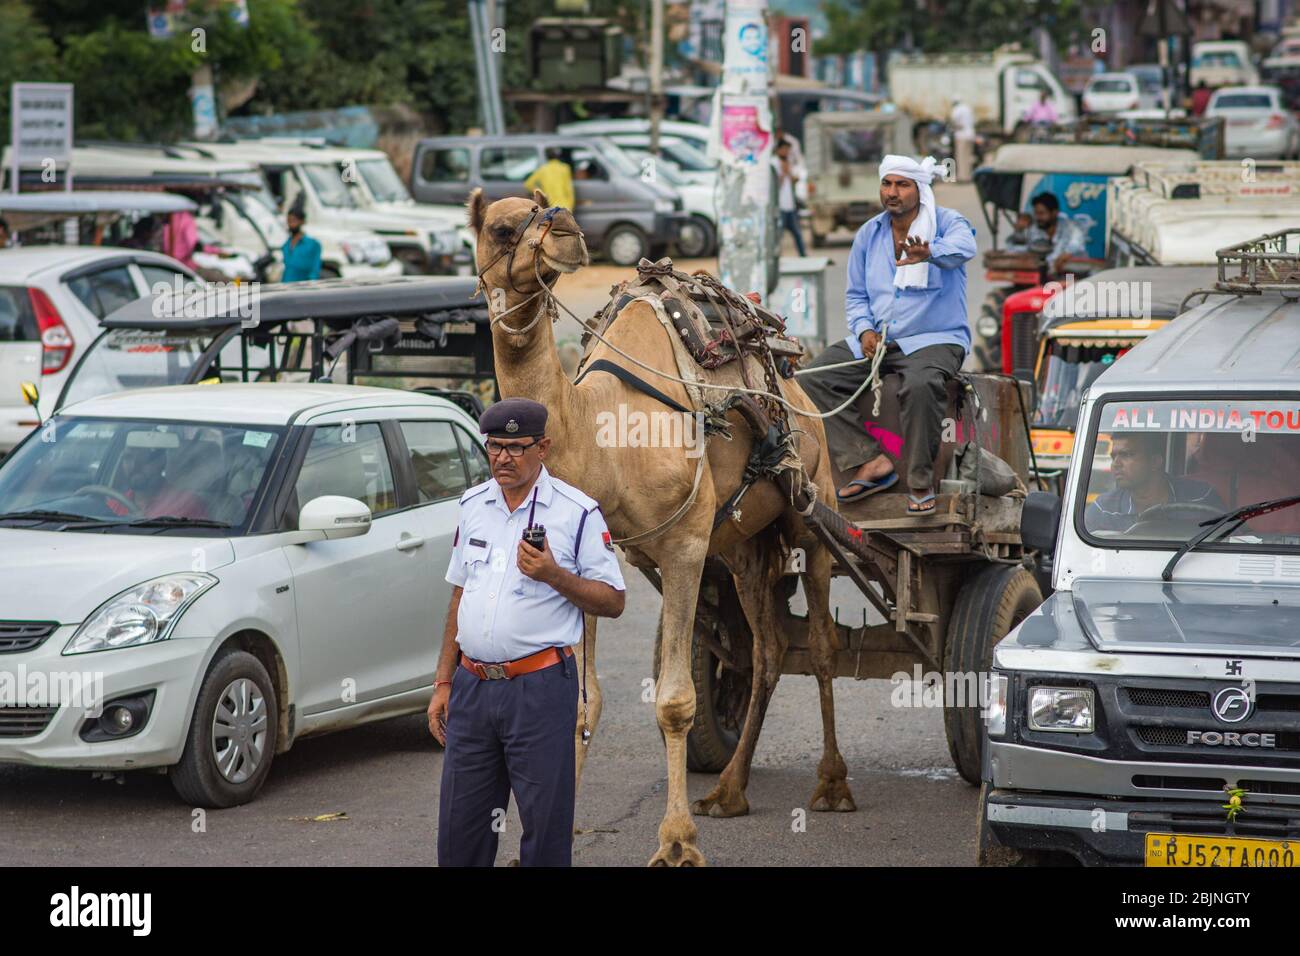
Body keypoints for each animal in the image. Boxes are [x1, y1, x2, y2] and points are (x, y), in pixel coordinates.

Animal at [467, 188, 852, 868]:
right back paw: (729, 790)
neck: (605, 432)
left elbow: (674, 700)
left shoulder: (684, 547)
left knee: (825, 644)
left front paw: (676, 842)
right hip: (742, 547)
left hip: (811, 505)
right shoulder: (587, 563)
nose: (567, 230)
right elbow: (584, 700)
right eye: (501, 227)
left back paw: (831, 784)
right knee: (769, 647)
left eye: (544, 208)